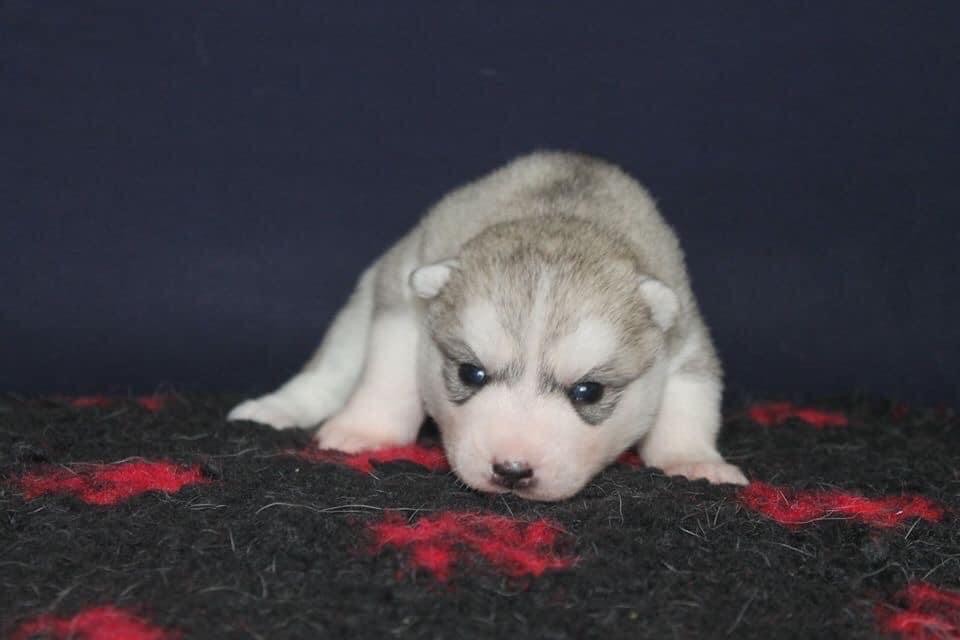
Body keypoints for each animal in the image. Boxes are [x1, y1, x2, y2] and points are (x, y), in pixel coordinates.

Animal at [229, 151, 748, 500]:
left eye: (589, 392)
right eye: (470, 374)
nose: (512, 470)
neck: (560, 217)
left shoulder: (684, 338)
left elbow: (690, 401)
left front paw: (694, 459)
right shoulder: (404, 302)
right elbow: (388, 377)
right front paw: (366, 429)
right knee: (330, 370)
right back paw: (278, 408)